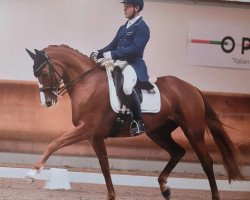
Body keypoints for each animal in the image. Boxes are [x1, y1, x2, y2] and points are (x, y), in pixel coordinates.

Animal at [26, 45, 245, 200]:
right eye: (35, 75)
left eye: (45, 73)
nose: (47, 102)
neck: (87, 84)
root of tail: (192, 88)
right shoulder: (94, 136)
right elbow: (104, 165)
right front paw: (111, 196)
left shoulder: (86, 129)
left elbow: (54, 143)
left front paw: (33, 172)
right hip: (158, 132)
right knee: (177, 152)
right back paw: (165, 188)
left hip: (193, 130)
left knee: (206, 161)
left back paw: (215, 195)